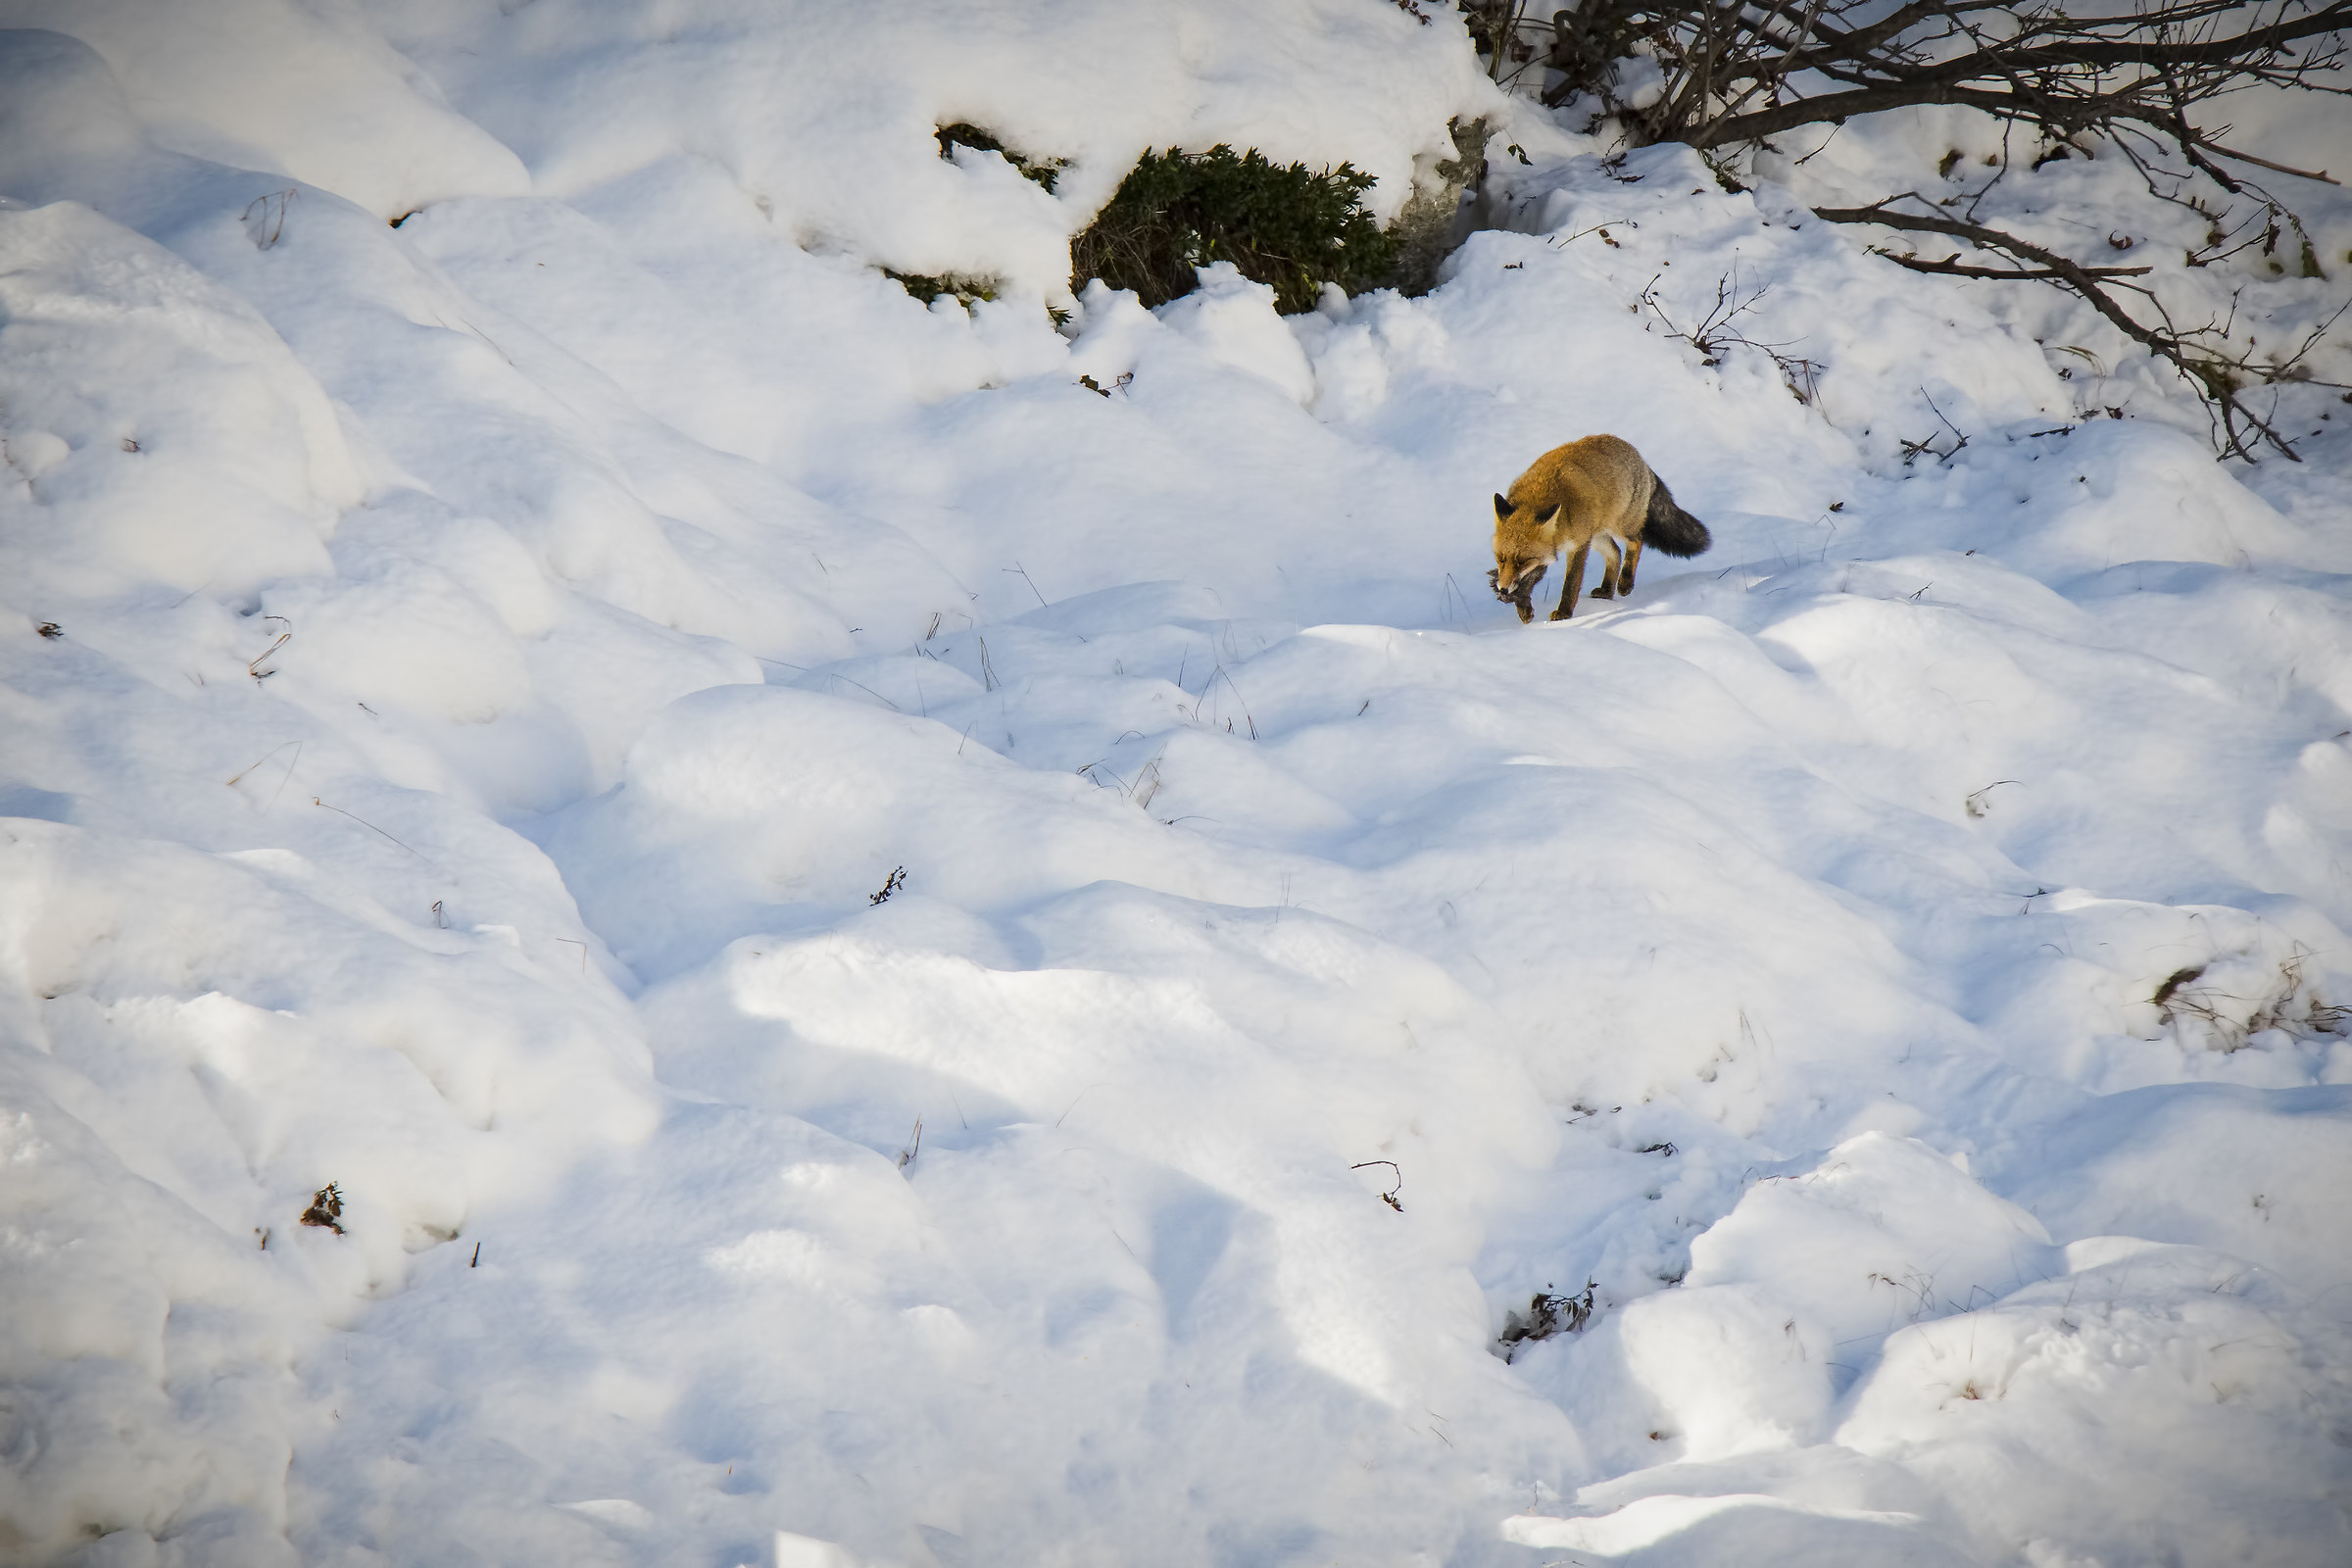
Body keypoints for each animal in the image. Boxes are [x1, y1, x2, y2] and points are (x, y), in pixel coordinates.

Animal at [1487, 434, 1711, 623]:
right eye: (1501, 559)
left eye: (1522, 561)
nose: (1503, 589)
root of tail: (1639, 457)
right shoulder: (1547, 553)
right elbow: (1529, 580)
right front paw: (1524, 609)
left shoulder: (1578, 544)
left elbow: (1571, 583)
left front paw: (1564, 613)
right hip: (1597, 537)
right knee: (1616, 553)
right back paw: (1607, 590)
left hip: (1619, 527)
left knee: (1636, 541)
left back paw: (1625, 583)